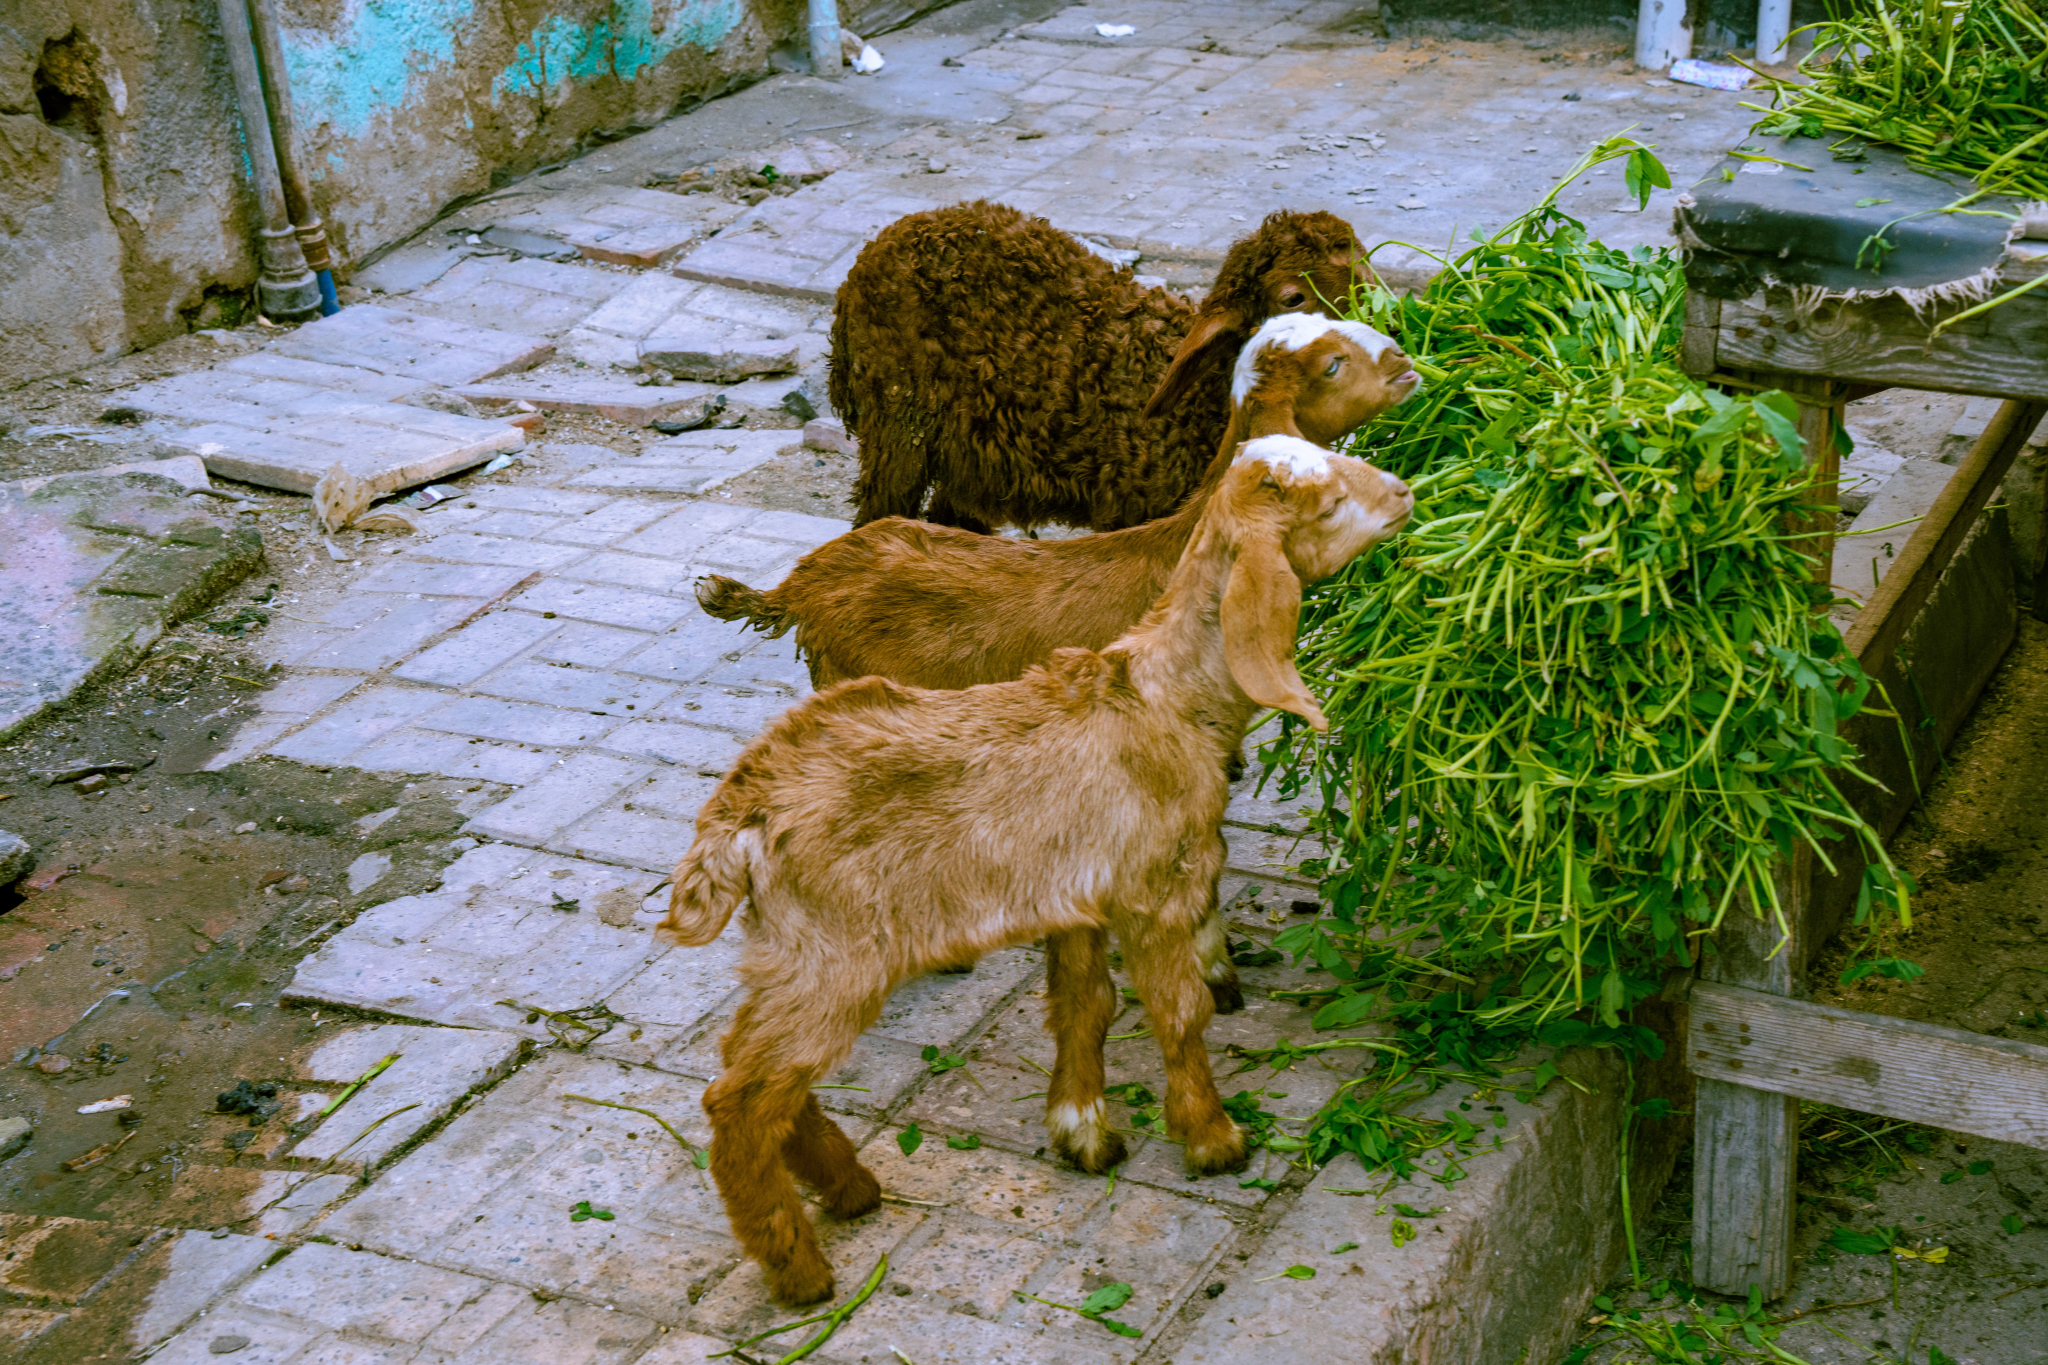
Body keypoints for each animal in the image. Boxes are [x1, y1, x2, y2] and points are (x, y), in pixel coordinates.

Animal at [663, 431, 1417, 1309]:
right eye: (1325, 501)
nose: (1404, 491)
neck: (1167, 697)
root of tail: (741, 810)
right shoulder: (1156, 888)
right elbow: (1179, 1010)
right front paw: (1213, 1138)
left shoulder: (1077, 894)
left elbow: (1083, 1004)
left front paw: (1084, 1132)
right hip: (834, 951)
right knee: (741, 1099)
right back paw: (802, 1269)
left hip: (788, 951)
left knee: (753, 1069)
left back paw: (849, 1188)